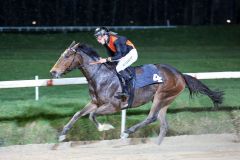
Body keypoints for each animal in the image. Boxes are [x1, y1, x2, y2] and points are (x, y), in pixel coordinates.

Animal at [49, 42, 224, 144]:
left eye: (67, 55)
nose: (53, 72)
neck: (100, 75)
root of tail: (180, 74)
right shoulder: (95, 102)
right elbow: (78, 114)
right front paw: (62, 134)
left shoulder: (114, 105)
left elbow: (92, 116)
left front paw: (105, 127)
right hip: (165, 100)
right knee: (163, 124)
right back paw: (156, 147)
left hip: (161, 96)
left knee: (151, 117)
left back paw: (128, 132)